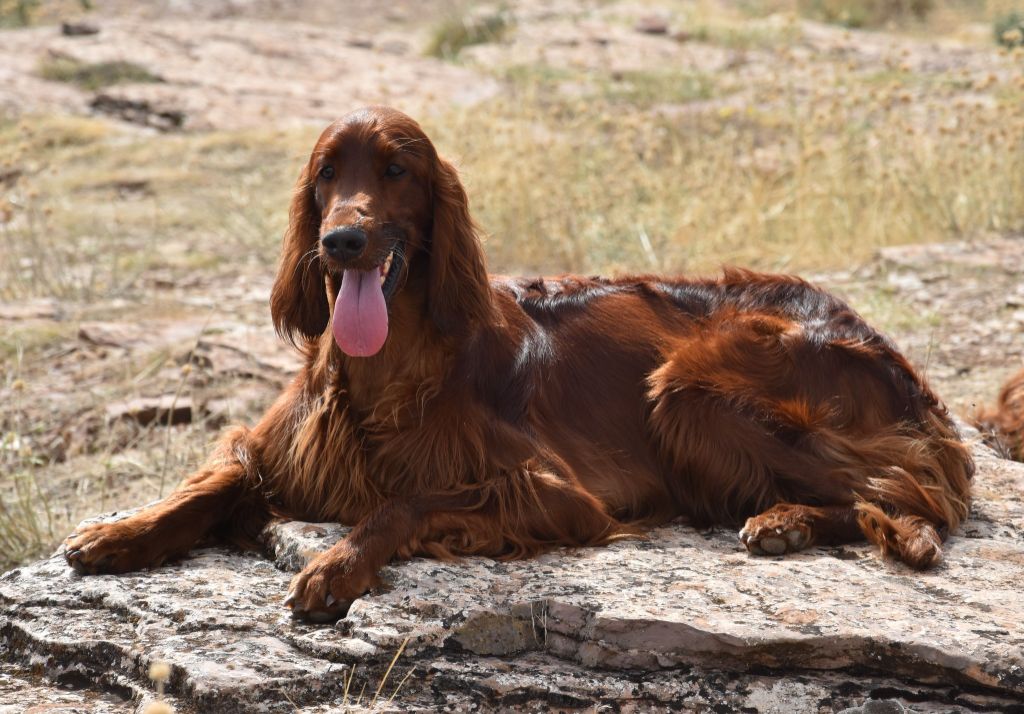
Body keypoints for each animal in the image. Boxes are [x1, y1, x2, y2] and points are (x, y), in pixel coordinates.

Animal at [66, 104, 974, 618]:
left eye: (396, 169)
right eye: (327, 173)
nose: (342, 241)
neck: (392, 369)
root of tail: (888, 350)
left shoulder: (553, 493)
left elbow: (403, 502)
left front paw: (335, 563)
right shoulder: (283, 449)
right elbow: (213, 482)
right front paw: (119, 531)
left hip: (685, 387)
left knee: (912, 497)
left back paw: (785, 520)